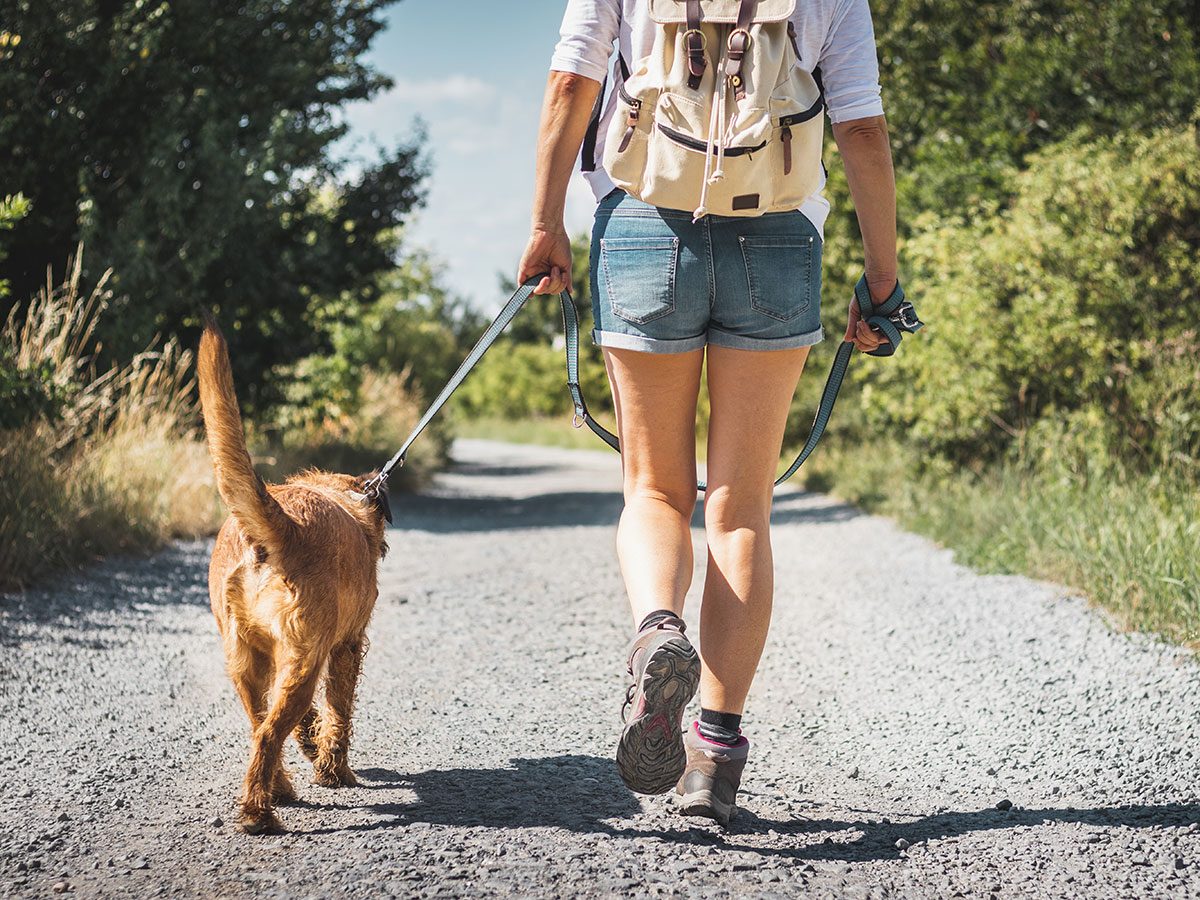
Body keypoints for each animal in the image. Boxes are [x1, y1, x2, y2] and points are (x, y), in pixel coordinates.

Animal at [199, 319, 388, 840]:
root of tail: (280, 526)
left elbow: (309, 721)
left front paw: (310, 747)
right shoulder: (346, 647)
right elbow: (339, 713)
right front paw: (333, 771)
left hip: (246, 662)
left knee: (259, 723)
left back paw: (276, 789)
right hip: (303, 661)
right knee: (268, 732)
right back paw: (259, 814)